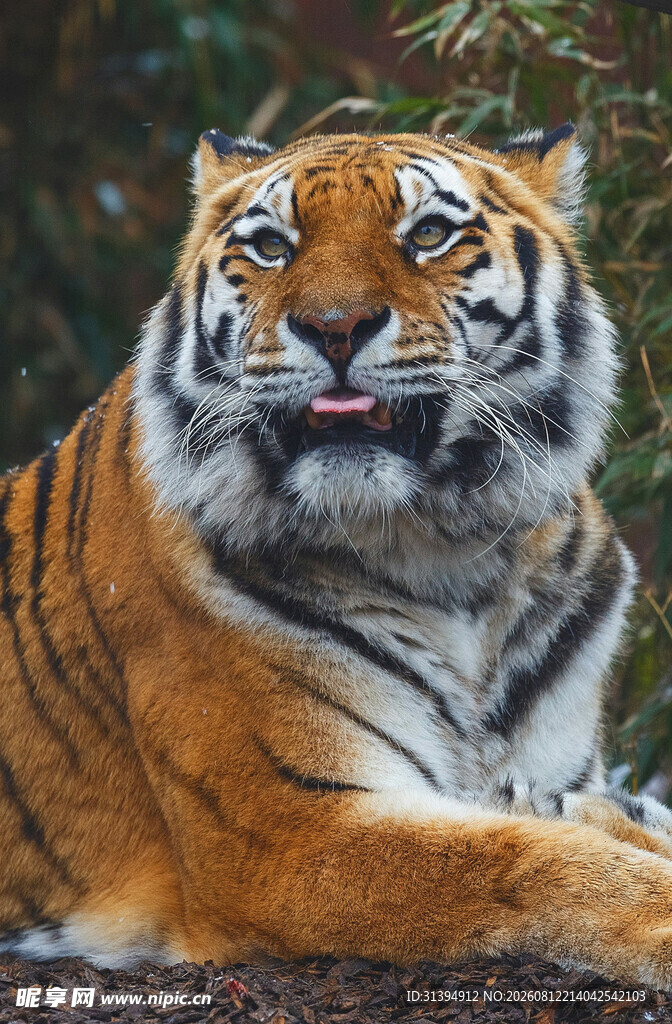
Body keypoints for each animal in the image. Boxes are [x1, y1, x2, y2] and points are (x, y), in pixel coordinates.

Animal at [2, 124, 672, 988]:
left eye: (428, 234)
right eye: (271, 246)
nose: (333, 325)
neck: (445, 555)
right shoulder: (291, 831)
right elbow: (536, 859)